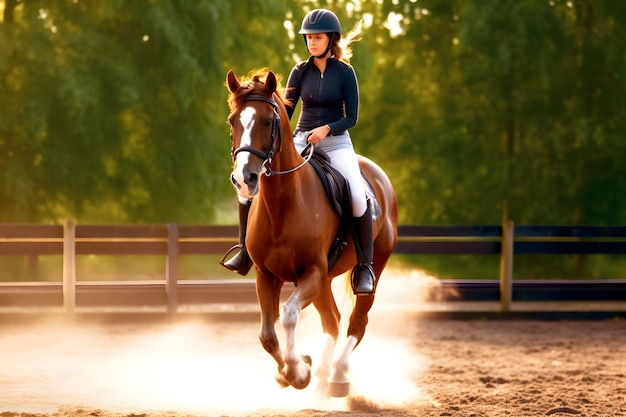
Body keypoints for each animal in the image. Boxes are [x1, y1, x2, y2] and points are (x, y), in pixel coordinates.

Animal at [227, 69, 398, 396]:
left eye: (267, 121)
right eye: (233, 121)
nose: (244, 179)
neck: (283, 205)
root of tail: (379, 175)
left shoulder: (313, 272)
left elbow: (289, 314)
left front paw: (298, 370)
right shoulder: (267, 275)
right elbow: (267, 335)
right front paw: (289, 371)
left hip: (372, 268)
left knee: (357, 322)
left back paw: (338, 376)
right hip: (325, 280)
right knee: (332, 320)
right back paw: (321, 373)